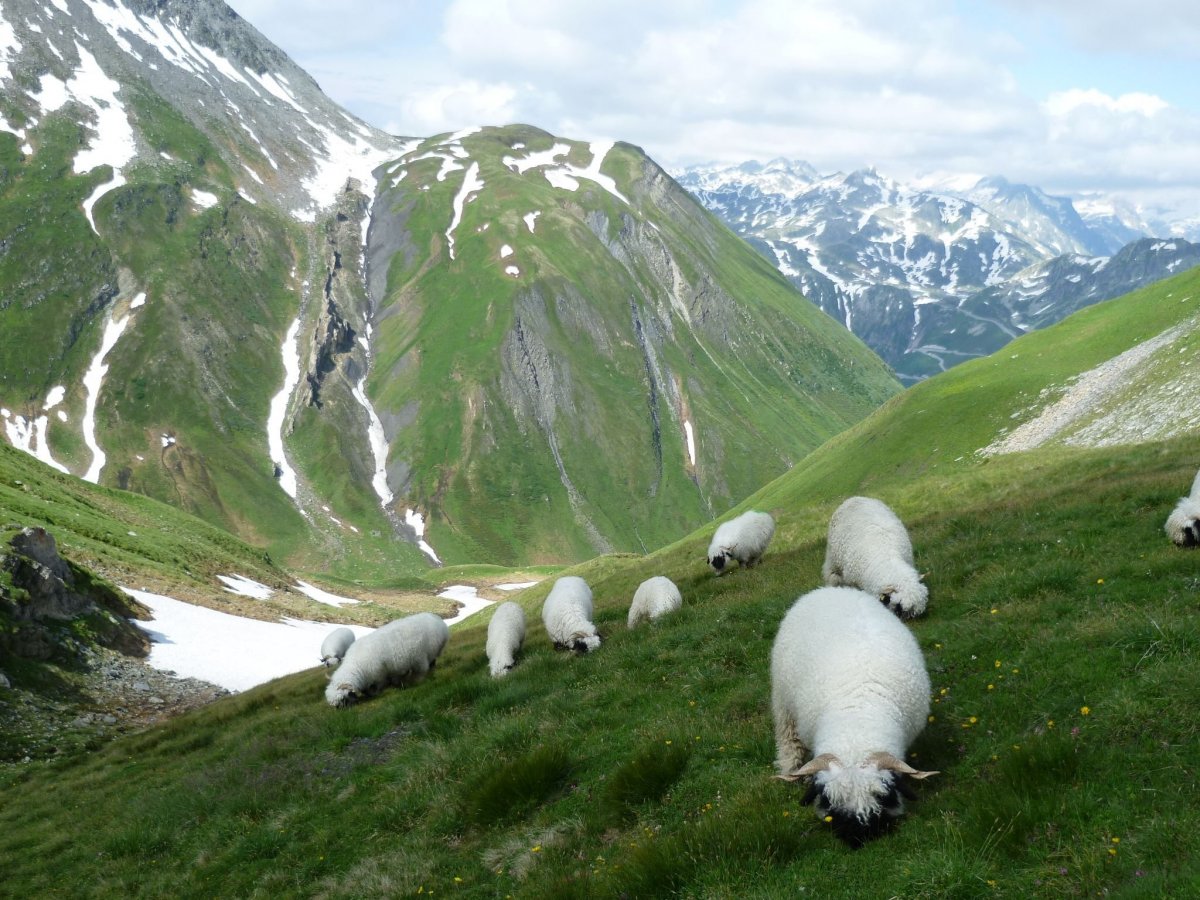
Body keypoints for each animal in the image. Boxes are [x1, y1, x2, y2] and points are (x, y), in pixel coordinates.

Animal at [771, 586, 937, 847]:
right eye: (829, 800)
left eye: (883, 797)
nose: (858, 838)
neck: (857, 722)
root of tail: (830, 589)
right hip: (783, 701)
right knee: (788, 739)